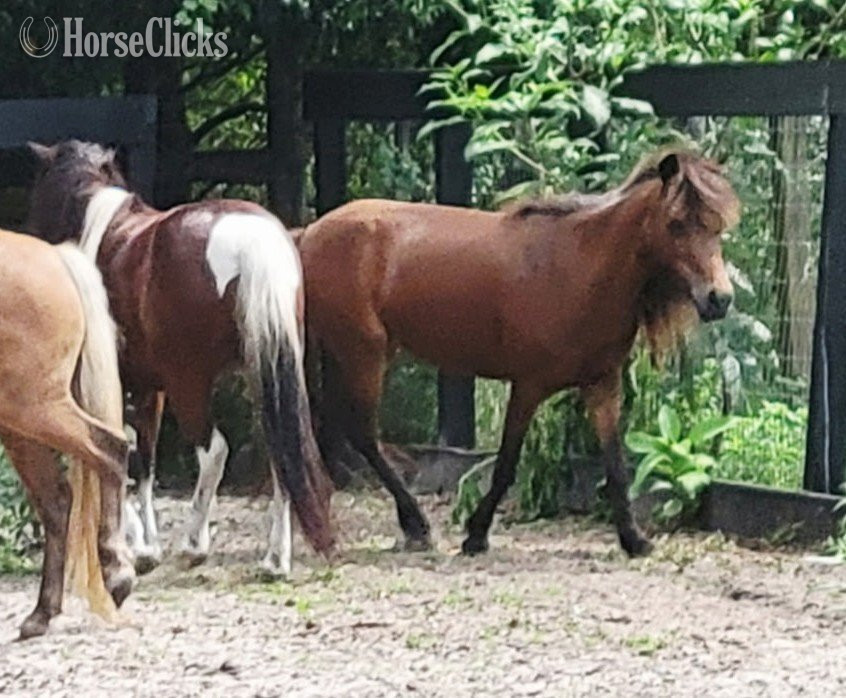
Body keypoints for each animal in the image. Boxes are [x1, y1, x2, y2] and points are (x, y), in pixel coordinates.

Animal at [0, 229, 135, 639]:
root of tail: (56, 258)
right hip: (19, 426)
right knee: (56, 500)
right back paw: (42, 613)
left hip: (38, 409)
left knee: (111, 450)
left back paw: (116, 571)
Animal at [26, 140, 334, 576]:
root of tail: (253, 241)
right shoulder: (149, 388)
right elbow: (143, 462)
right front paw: (147, 546)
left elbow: (114, 451)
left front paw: (138, 543)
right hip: (266, 374)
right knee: (282, 455)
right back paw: (276, 559)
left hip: (191, 383)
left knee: (214, 451)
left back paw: (195, 543)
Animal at [299, 150, 739, 556]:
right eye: (676, 223)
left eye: (717, 226)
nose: (719, 299)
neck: (578, 269)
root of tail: (310, 233)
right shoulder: (528, 386)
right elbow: (507, 463)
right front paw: (476, 534)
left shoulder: (602, 385)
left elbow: (615, 465)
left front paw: (633, 539)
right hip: (364, 354)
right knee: (362, 432)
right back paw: (416, 525)